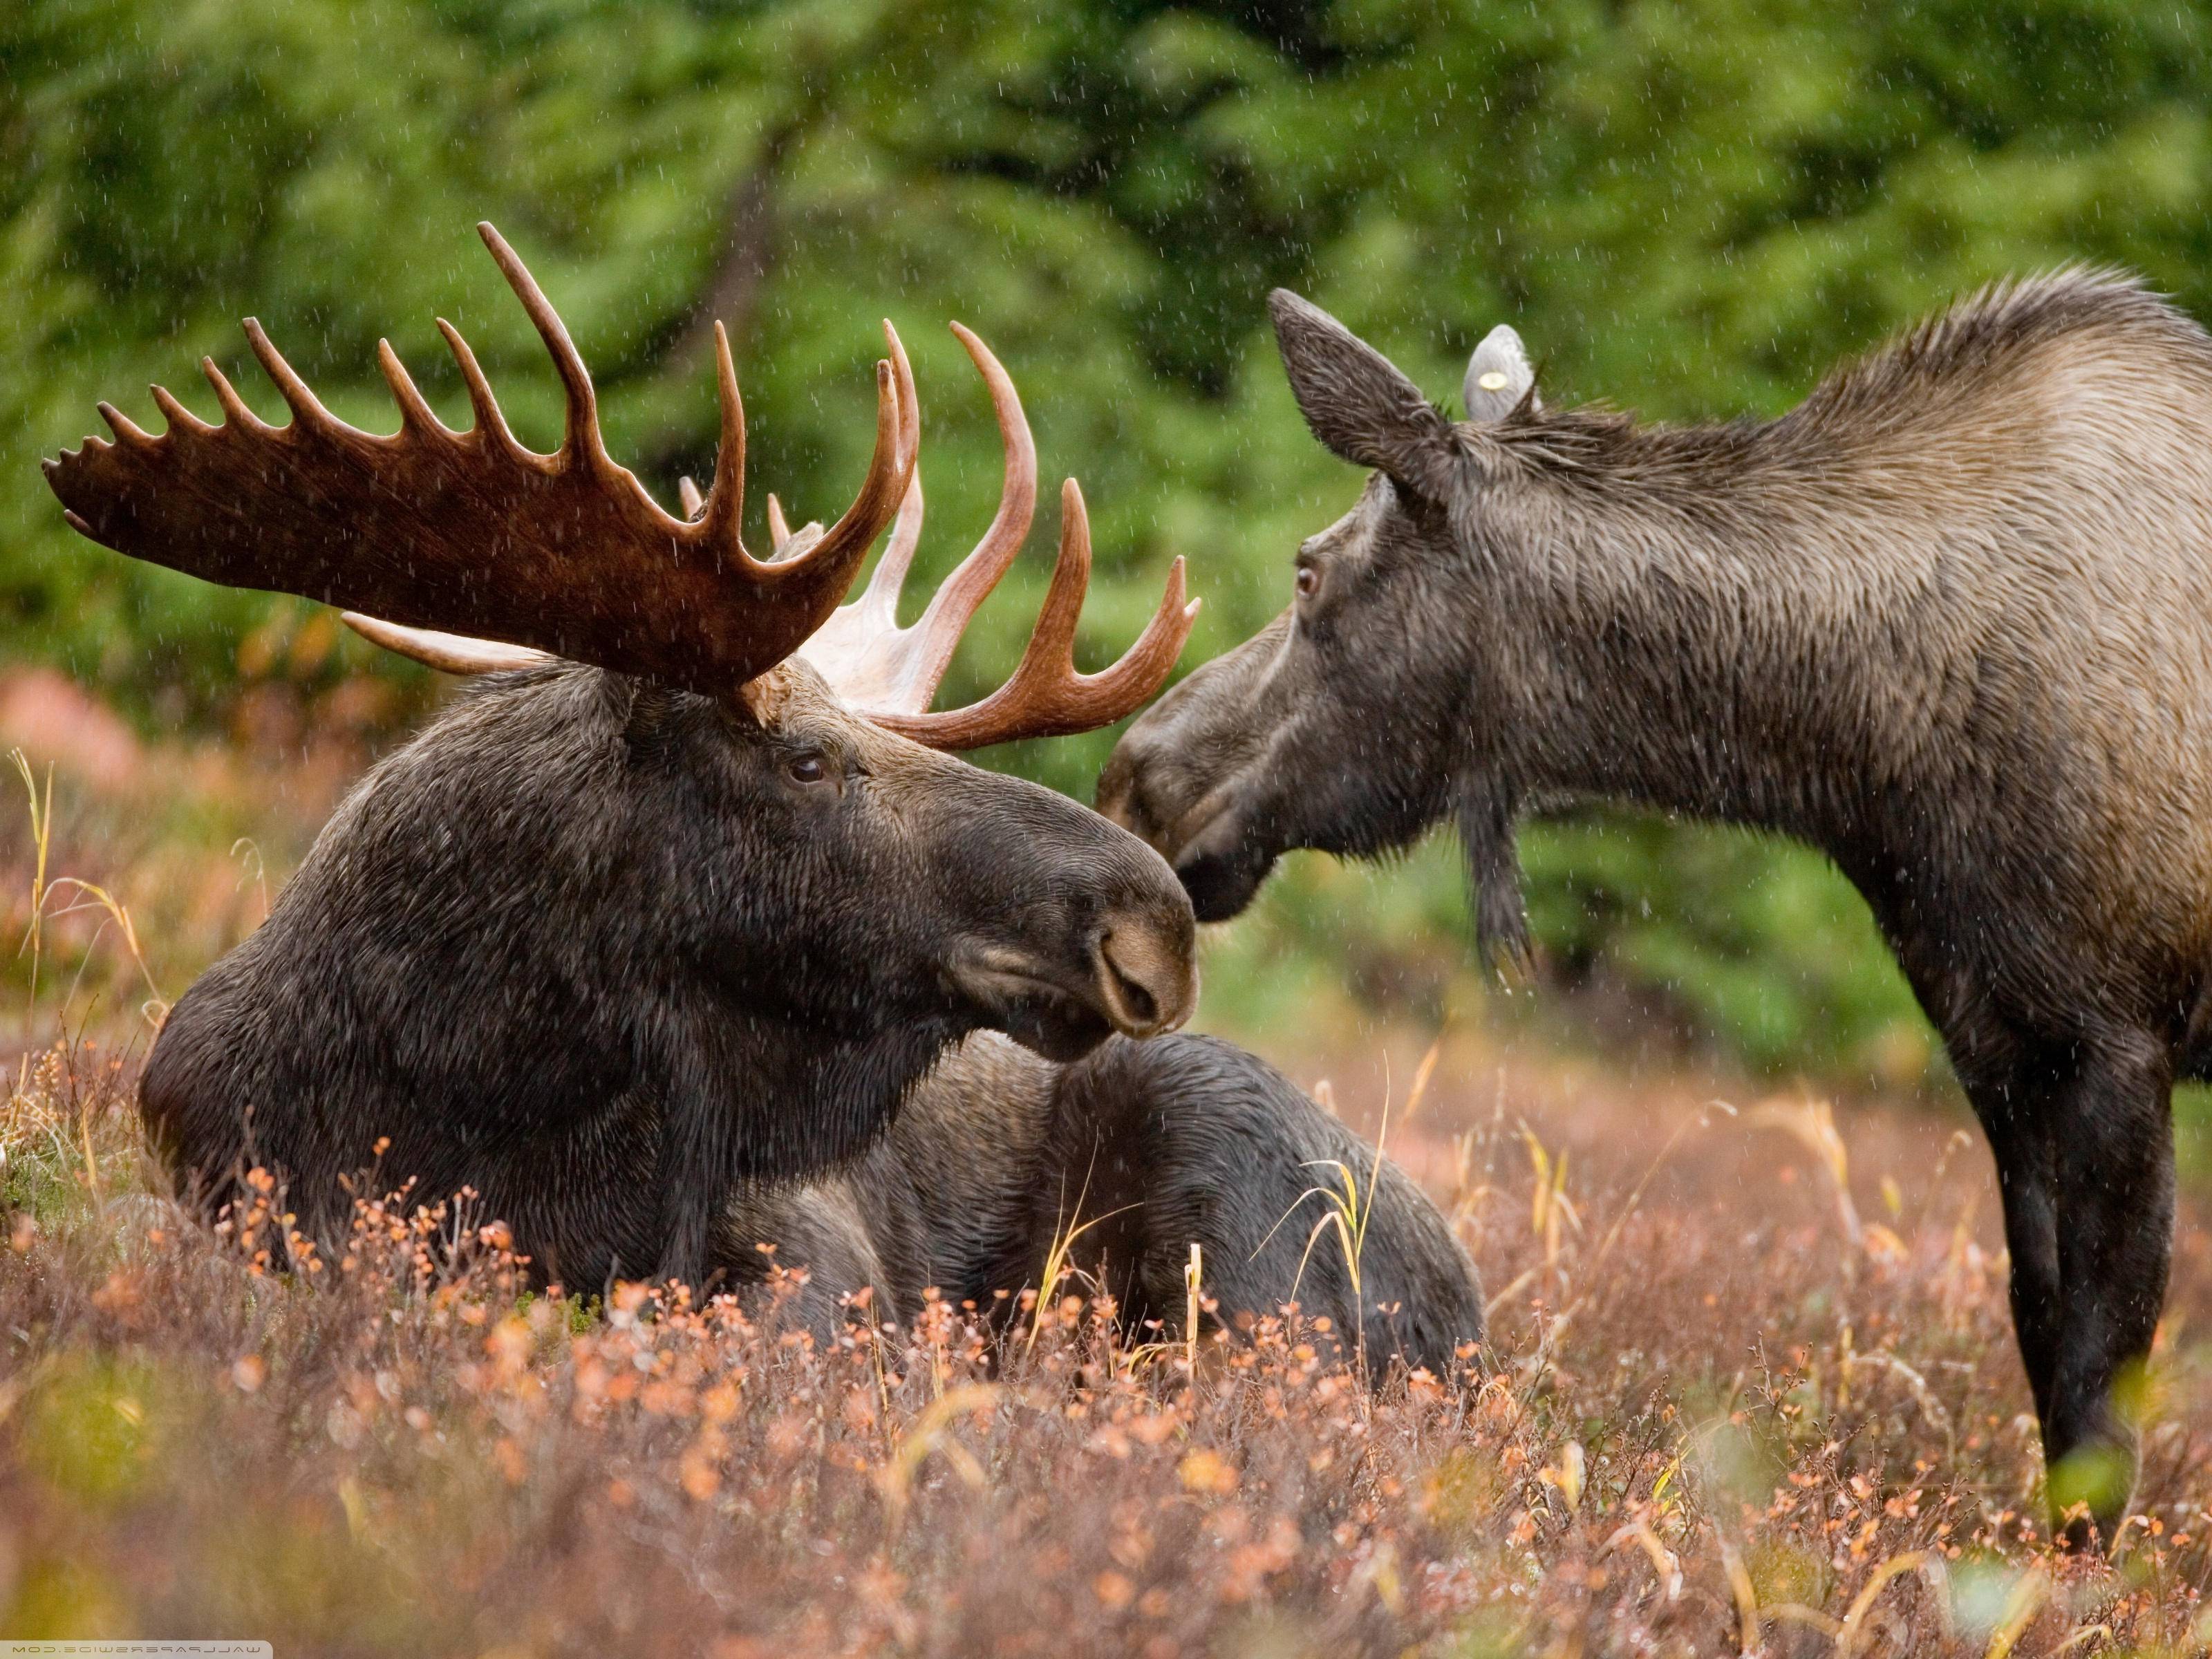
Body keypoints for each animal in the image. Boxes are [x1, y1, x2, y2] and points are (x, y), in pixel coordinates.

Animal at [44, 225, 1484, 1379]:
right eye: (805, 761)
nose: (1153, 920)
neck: (463, 1088)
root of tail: (1477, 1315)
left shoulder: (809, 1257)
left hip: (1226, 1172)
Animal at [1096, 272, 2212, 1539]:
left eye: (1306, 570)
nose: (1137, 778)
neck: (1869, 755)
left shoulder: (2122, 1039)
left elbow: (2102, 1390)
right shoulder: (1998, 1042)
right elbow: (2042, 1340)